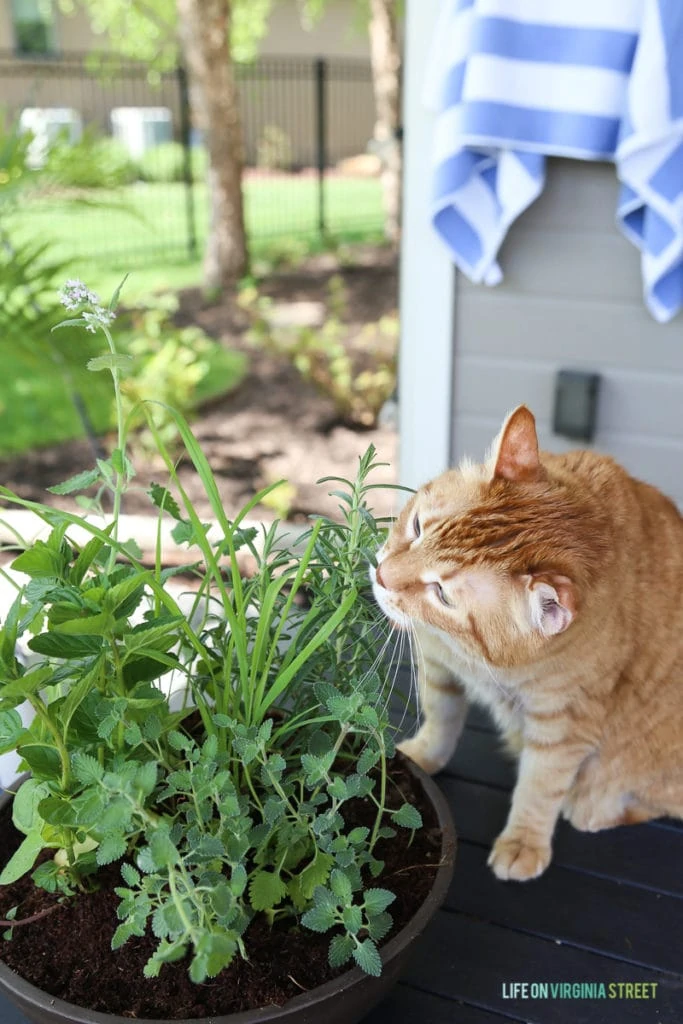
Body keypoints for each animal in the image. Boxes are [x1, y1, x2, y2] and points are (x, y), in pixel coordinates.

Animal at [374, 407, 683, 880]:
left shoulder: (564, 725)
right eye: (417, 526)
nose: (380, 576)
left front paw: (524, 841)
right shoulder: (440, 666)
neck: (475, 657)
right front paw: (424, 756)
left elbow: (539, 787)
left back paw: (590, 808)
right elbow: (441, 719)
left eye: (442, 594)